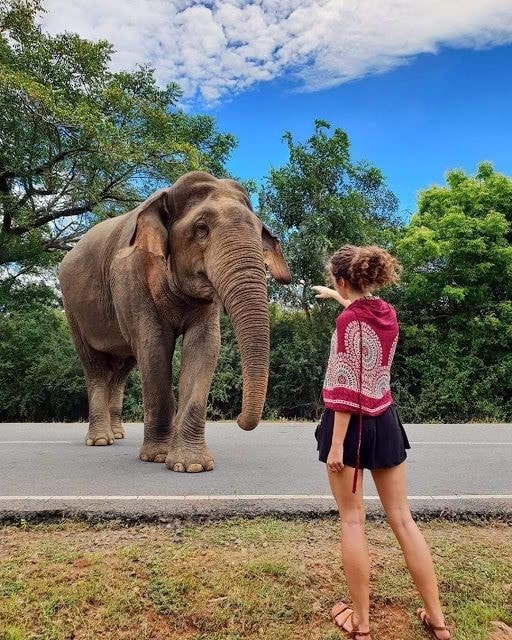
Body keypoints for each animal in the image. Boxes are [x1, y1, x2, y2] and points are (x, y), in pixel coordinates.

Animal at [58, 171, 291, 472]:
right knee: (95, 367)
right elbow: (154, 345)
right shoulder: (131, 278)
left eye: (258, 230)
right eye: (201, 228)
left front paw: (192, 465)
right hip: (72, 308)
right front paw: (157, 456)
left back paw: (118, 435)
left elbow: (204, 345)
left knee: (122, 369)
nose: (239, 419)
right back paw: (100, 440)